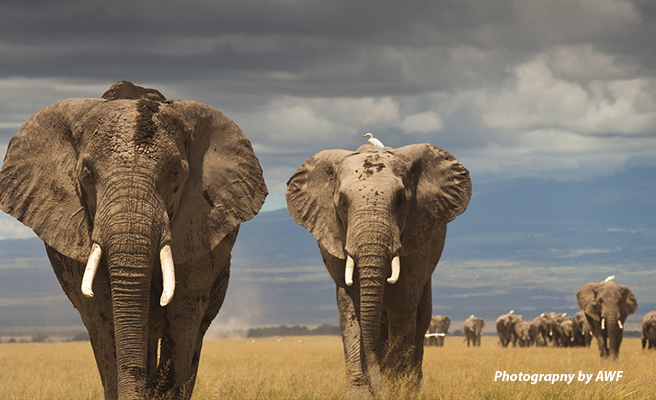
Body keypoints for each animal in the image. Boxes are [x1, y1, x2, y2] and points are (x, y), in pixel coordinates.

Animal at [286, 143, 471, 396]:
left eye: (402, 200)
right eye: (342, 203)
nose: (378, 389)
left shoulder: (417, 238)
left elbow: (403, 303)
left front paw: (397, 391)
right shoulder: (334, 236)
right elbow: (350, 307)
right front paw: (361, 395)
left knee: (420, 319)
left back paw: (411, 386)